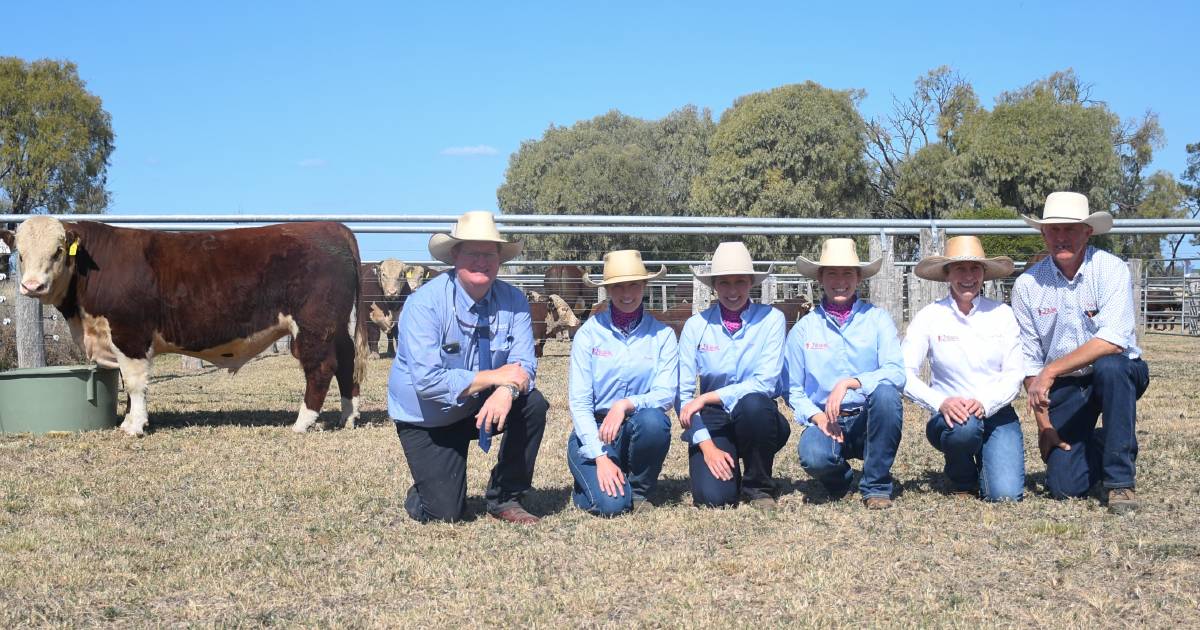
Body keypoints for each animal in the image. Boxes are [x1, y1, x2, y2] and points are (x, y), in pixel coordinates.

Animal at [0, 214, 367, 432]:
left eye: (58, 251)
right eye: (20, 254)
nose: (32, 286)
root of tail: (331, 226)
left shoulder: (130, 334)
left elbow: (135, 383)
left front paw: (134, 426)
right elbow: (127, 384)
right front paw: (130, 420)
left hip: (314, 326)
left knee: (321, 368)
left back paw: (303, 422)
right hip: (337, 326)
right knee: (347, 364)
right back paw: (348, 416)